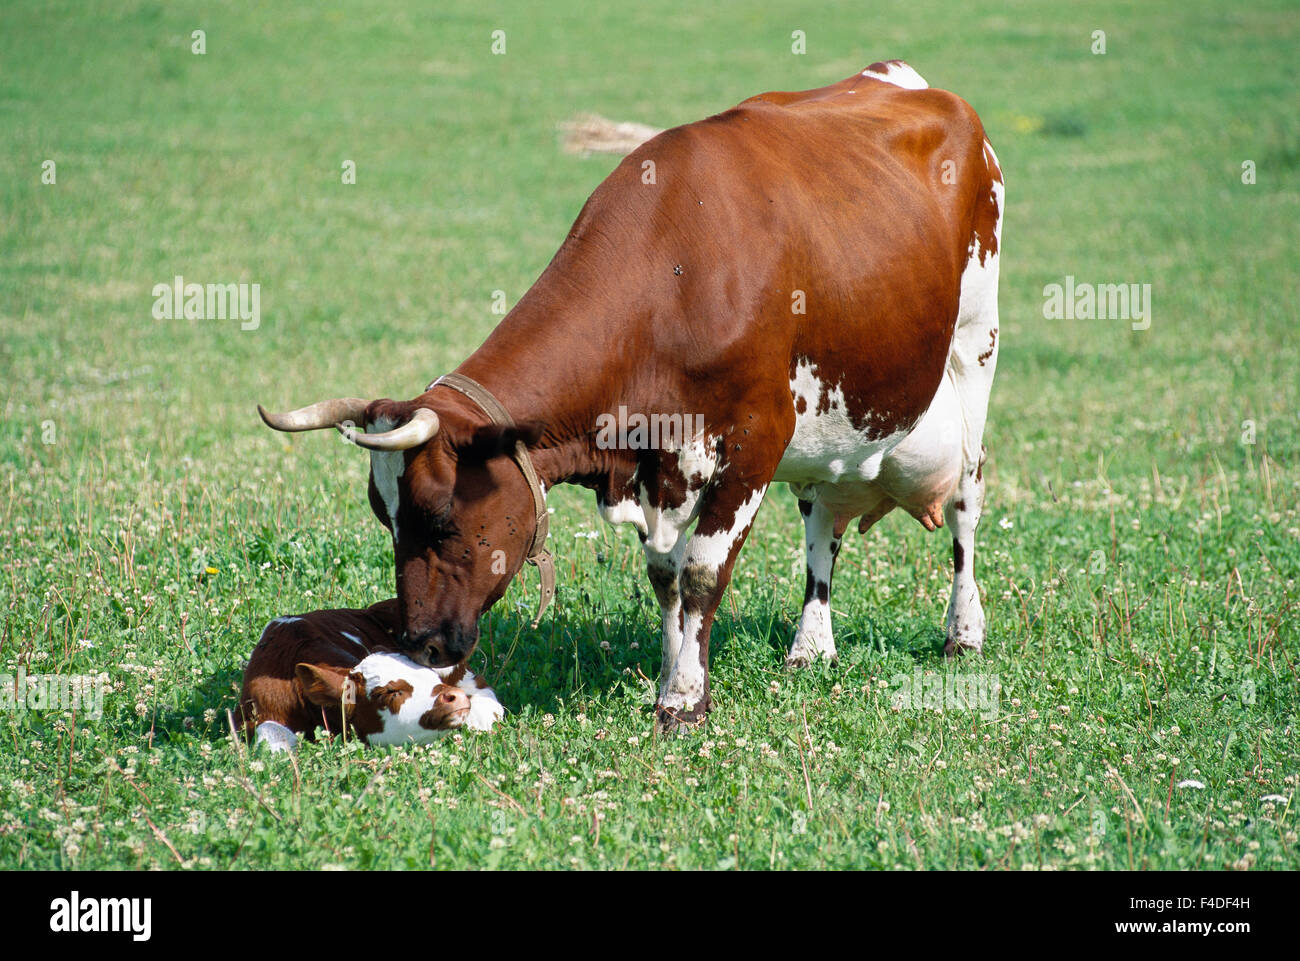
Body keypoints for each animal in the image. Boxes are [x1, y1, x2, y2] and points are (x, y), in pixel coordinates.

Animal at [258, 61, 1004, 733]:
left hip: (975, 346)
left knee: (966, 501)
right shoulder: (658, 465)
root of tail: (909, 80)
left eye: (439, 517)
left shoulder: (756, 441)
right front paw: (676, 673)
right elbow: (665, 578)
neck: (676, 274)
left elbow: (699, 573)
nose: (420, 643)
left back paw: (963, 632)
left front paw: (685, 701)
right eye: (385, 518)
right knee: (822, 519)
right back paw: (811, 646)